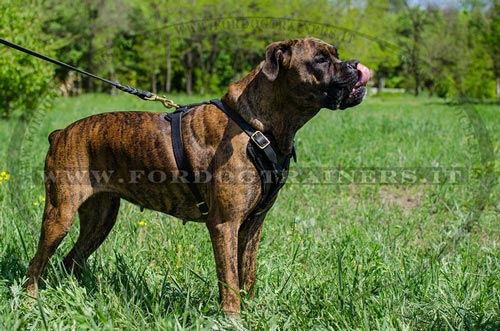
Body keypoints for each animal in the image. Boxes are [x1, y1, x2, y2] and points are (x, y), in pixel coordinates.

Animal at [28, 37, 372, 316]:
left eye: (336, 54)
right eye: (321, 60)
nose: (355, 65)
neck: (256, 127)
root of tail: (61, 133)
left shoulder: (252, 225)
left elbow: (247, 275)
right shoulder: (225, 225)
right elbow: (229, 279)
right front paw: (232, 319)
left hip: (100, 219)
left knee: (71, 260)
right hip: (60, 215)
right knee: (36, 263)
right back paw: (32, 302)